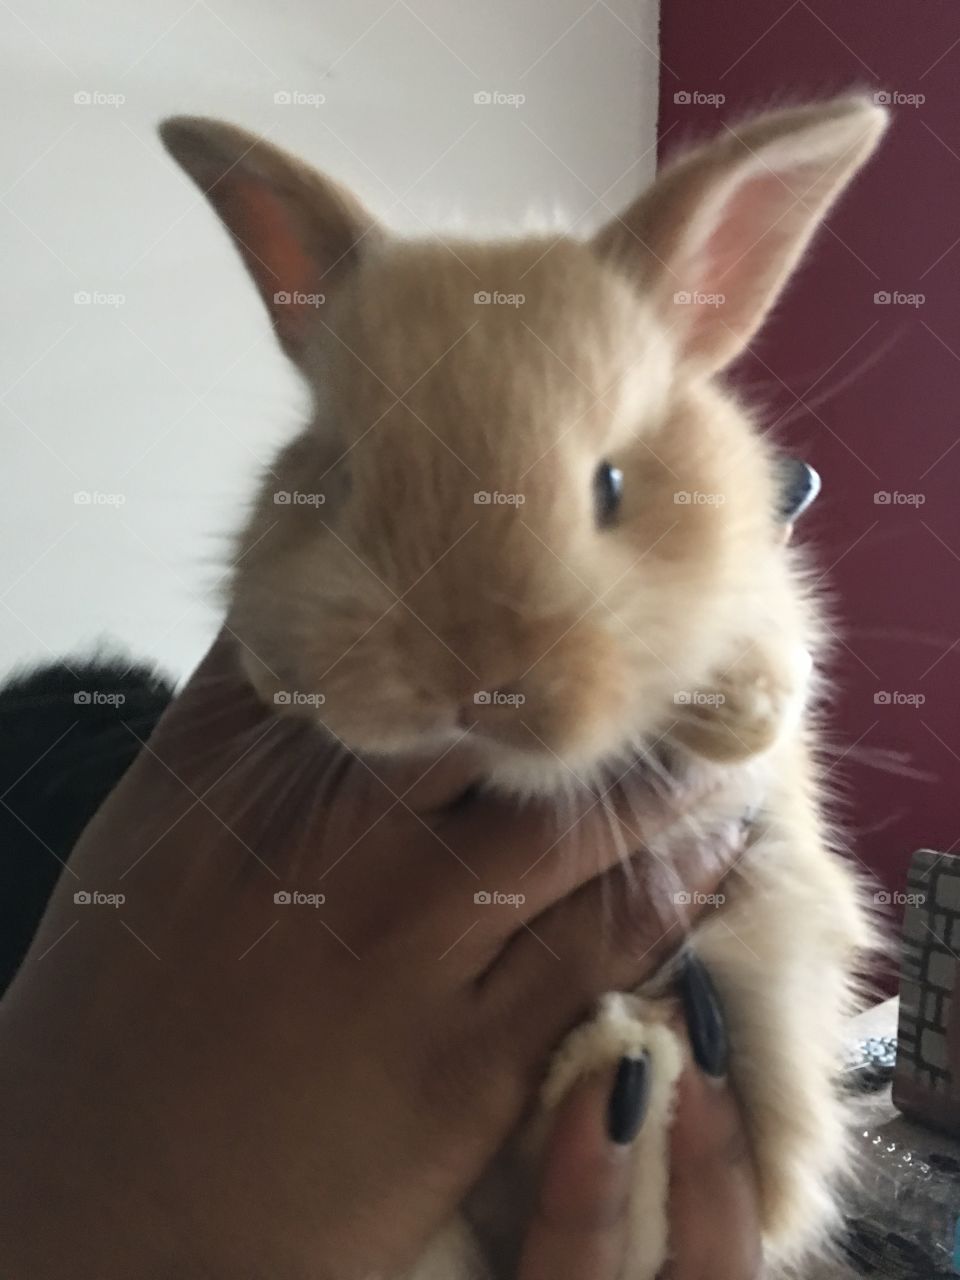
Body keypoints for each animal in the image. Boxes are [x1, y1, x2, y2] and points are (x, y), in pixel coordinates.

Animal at [159, 95, 888, 1279]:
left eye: (612, 486)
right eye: (340, 482)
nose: (471, 680)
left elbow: (775, 655)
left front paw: (740, 710)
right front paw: (279, 682)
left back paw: (624, 1053)